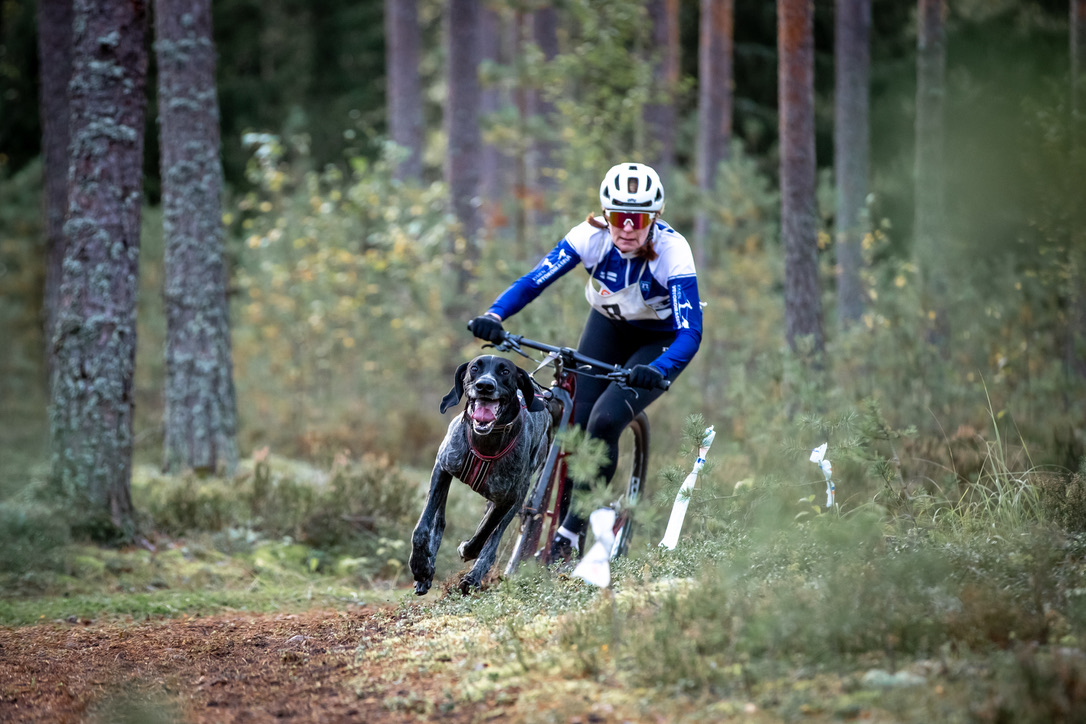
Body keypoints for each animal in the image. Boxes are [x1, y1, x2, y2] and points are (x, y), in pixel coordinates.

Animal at [410, 355, 551, 596]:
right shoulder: (442, 468)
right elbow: (423, 528)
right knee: (440, 521)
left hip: (518, 498)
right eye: (475, 368)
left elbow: (483, 536)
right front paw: (420, 566)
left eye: (505, 371)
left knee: (492, 540)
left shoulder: (506, 500)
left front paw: (467, 551)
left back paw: (474, 577)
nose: (485, 385)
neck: (485, 443)